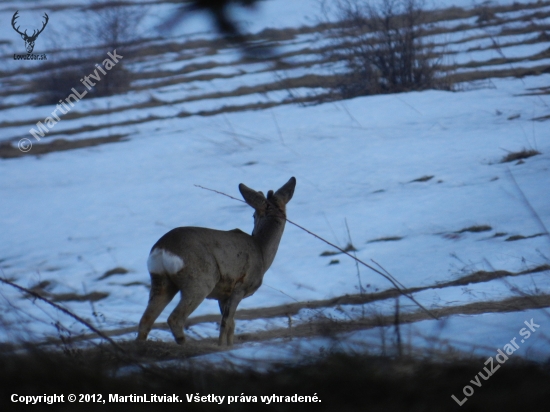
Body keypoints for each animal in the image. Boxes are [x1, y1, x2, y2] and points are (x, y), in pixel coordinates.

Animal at [136, 176, 296, 344]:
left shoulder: (223, 295)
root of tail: (162, 249)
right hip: (199, 281)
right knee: (175, 318)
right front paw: (223, 346)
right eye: (253, 215)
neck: (261, 252)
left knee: (146, 320)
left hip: (161, 281)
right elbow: (227, 323)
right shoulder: (239, 287)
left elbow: (231, 324)